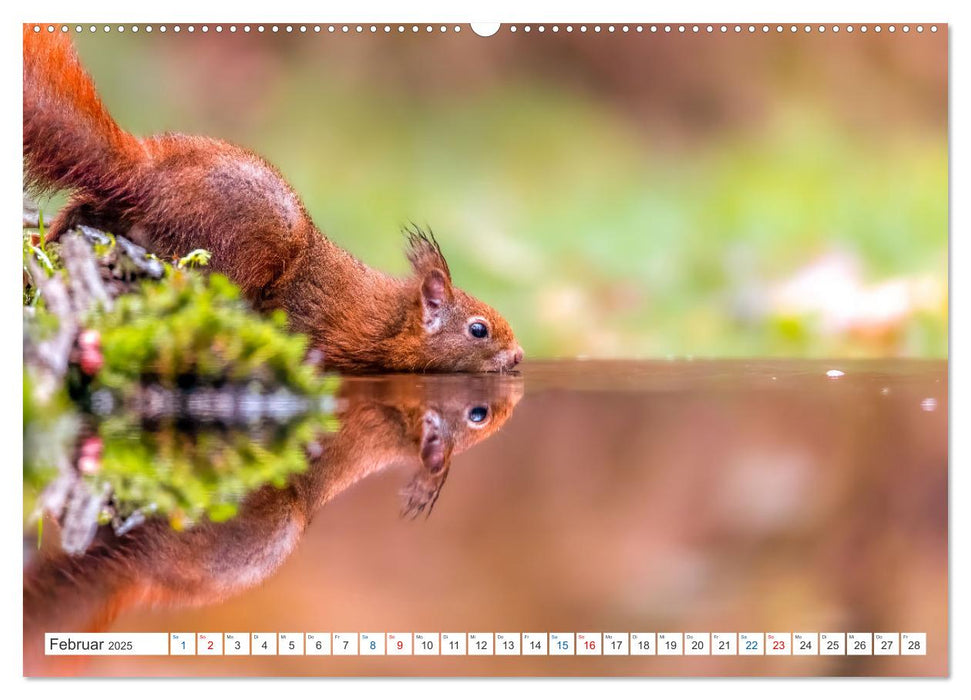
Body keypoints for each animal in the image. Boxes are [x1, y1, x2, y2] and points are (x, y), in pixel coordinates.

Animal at [22, 28, 524, 372]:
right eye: (478, 329)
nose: (519, 356)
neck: (395, 315)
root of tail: (150, 174)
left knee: (85, 208)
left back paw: (50, 238)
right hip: (236, 250)